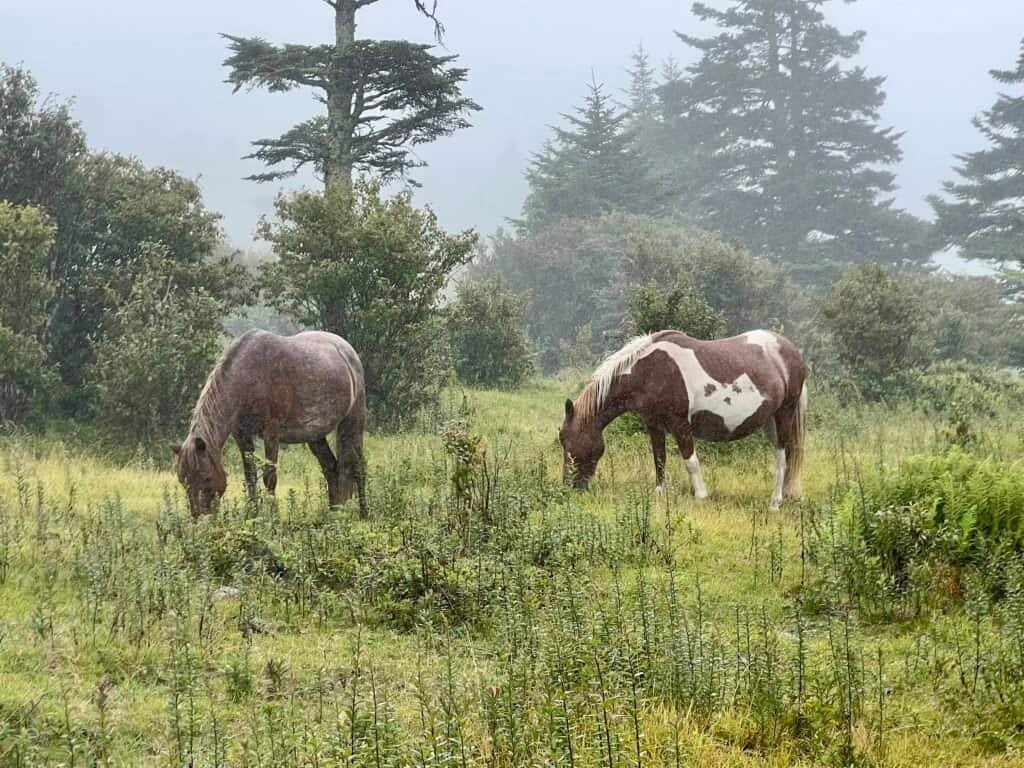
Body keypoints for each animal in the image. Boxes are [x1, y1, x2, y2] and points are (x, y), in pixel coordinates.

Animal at [173, 329, 368, 517]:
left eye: (206, 477)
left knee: (357, 466)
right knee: (331, 468)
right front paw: (253, 515)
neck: (247, 376)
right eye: (182, 480)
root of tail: (347, 351)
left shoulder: (271, 433)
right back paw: (335, 513)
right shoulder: (241, 434)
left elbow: (269, 477)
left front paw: (273, 520)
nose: (200, 518)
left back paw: (363, 513)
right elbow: (250, 476)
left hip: (353, 423)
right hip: (315, 435)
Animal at [559, 329, 807, 509]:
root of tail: (790, 351)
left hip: (784, 414)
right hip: (770, 422)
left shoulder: (680, 424)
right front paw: (660, 495)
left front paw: (701, 496)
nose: (569, 486)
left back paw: (775, 502)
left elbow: (691, 462)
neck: (649, 370)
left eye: (565, 440)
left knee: (782, 456)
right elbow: (659, 459)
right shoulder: (654, 425)